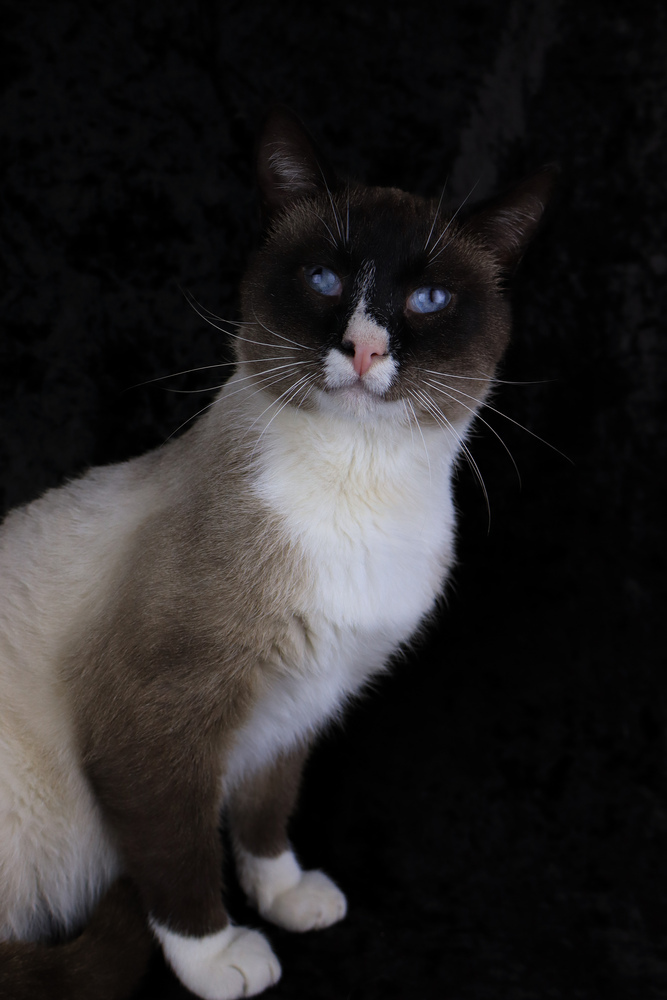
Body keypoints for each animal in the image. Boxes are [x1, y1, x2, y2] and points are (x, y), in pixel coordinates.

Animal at [0, 109, 552, 1000]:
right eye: (325, 280)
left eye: (428, 299)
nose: (363, 349)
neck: (360, 490)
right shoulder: (154, 723)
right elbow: (181, 860)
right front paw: (220, 957)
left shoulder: (301, 700)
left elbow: (264, 813)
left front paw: (287, 897)